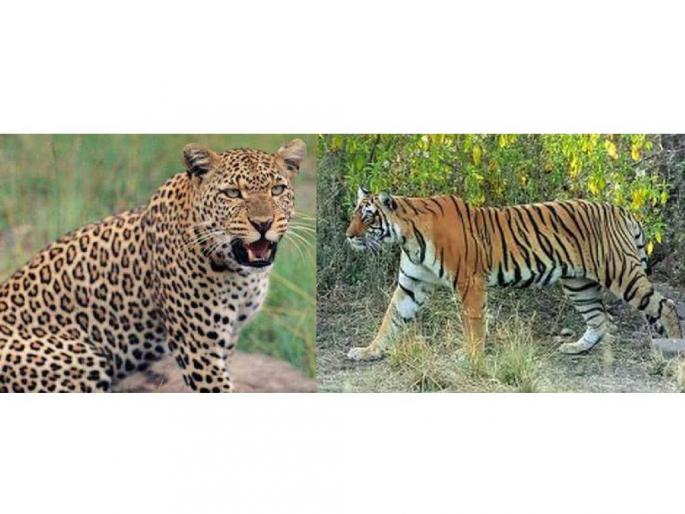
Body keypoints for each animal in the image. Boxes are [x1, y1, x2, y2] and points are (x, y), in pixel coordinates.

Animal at [344, 187, 683, 361]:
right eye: (354, 215)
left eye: (368, 217)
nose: (348, 236)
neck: (407, 237)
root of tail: (622, 210)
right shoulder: (411, 284)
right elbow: (390, 320)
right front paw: (368, 351)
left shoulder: (470, 282)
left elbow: (473, 324)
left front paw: (471, 356)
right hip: (578, 283)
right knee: (600, 319)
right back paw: (576, 347)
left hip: (621, 272)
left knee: (665, 306)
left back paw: (674, 348)